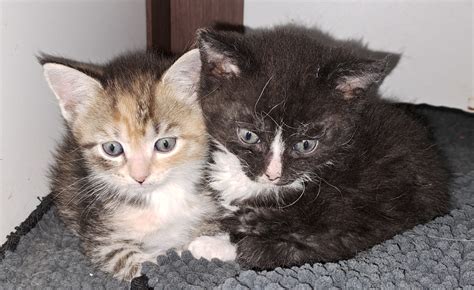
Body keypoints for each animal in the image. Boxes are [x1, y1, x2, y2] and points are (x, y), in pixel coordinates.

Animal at [40, 49, 218, 278]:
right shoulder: (102, 240)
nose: (140, 177)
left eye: (165, 144)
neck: (158, 197)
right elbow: (144, 263)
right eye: (112, 148)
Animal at [196, 24, 452, 270]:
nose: (273, 175)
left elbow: (267, 248)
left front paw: (213, 243)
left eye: (306, 144)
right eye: (248, 136)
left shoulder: (359, 217)